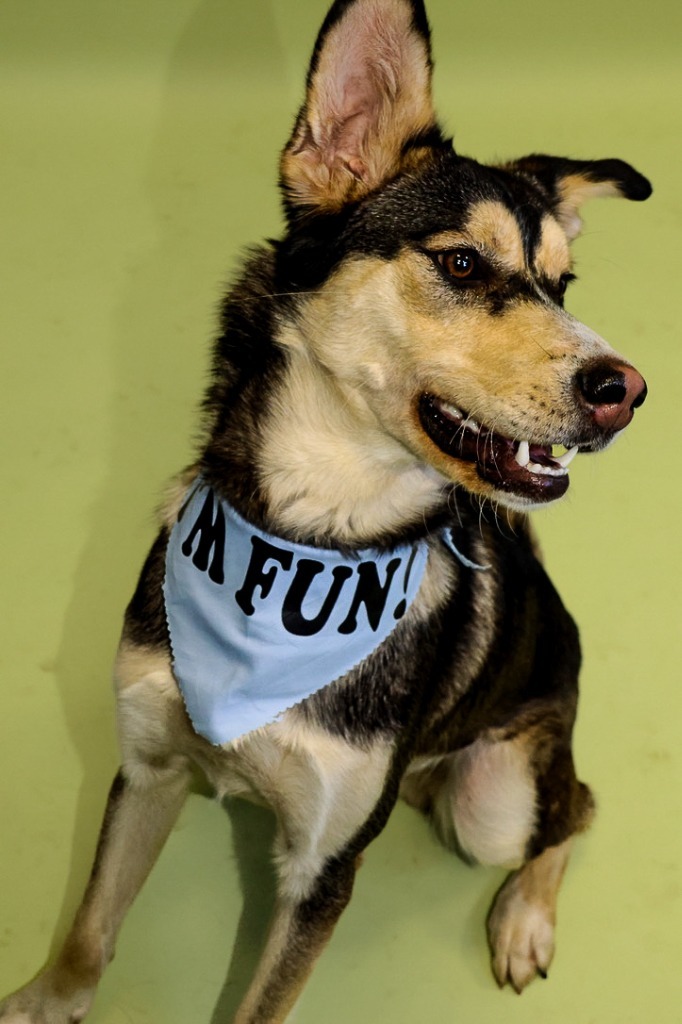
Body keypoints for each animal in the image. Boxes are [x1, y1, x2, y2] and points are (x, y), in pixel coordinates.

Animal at [0, 2, 647, 1024]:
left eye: (562, 286)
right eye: (462, 263)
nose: (628, 390)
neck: (314, 531)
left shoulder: (323, 868)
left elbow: (259, 1003)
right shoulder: (145, 767)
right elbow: (90, 930)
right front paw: (43, 1001)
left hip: (497, 802)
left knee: (574, 807)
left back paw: (524, 922)